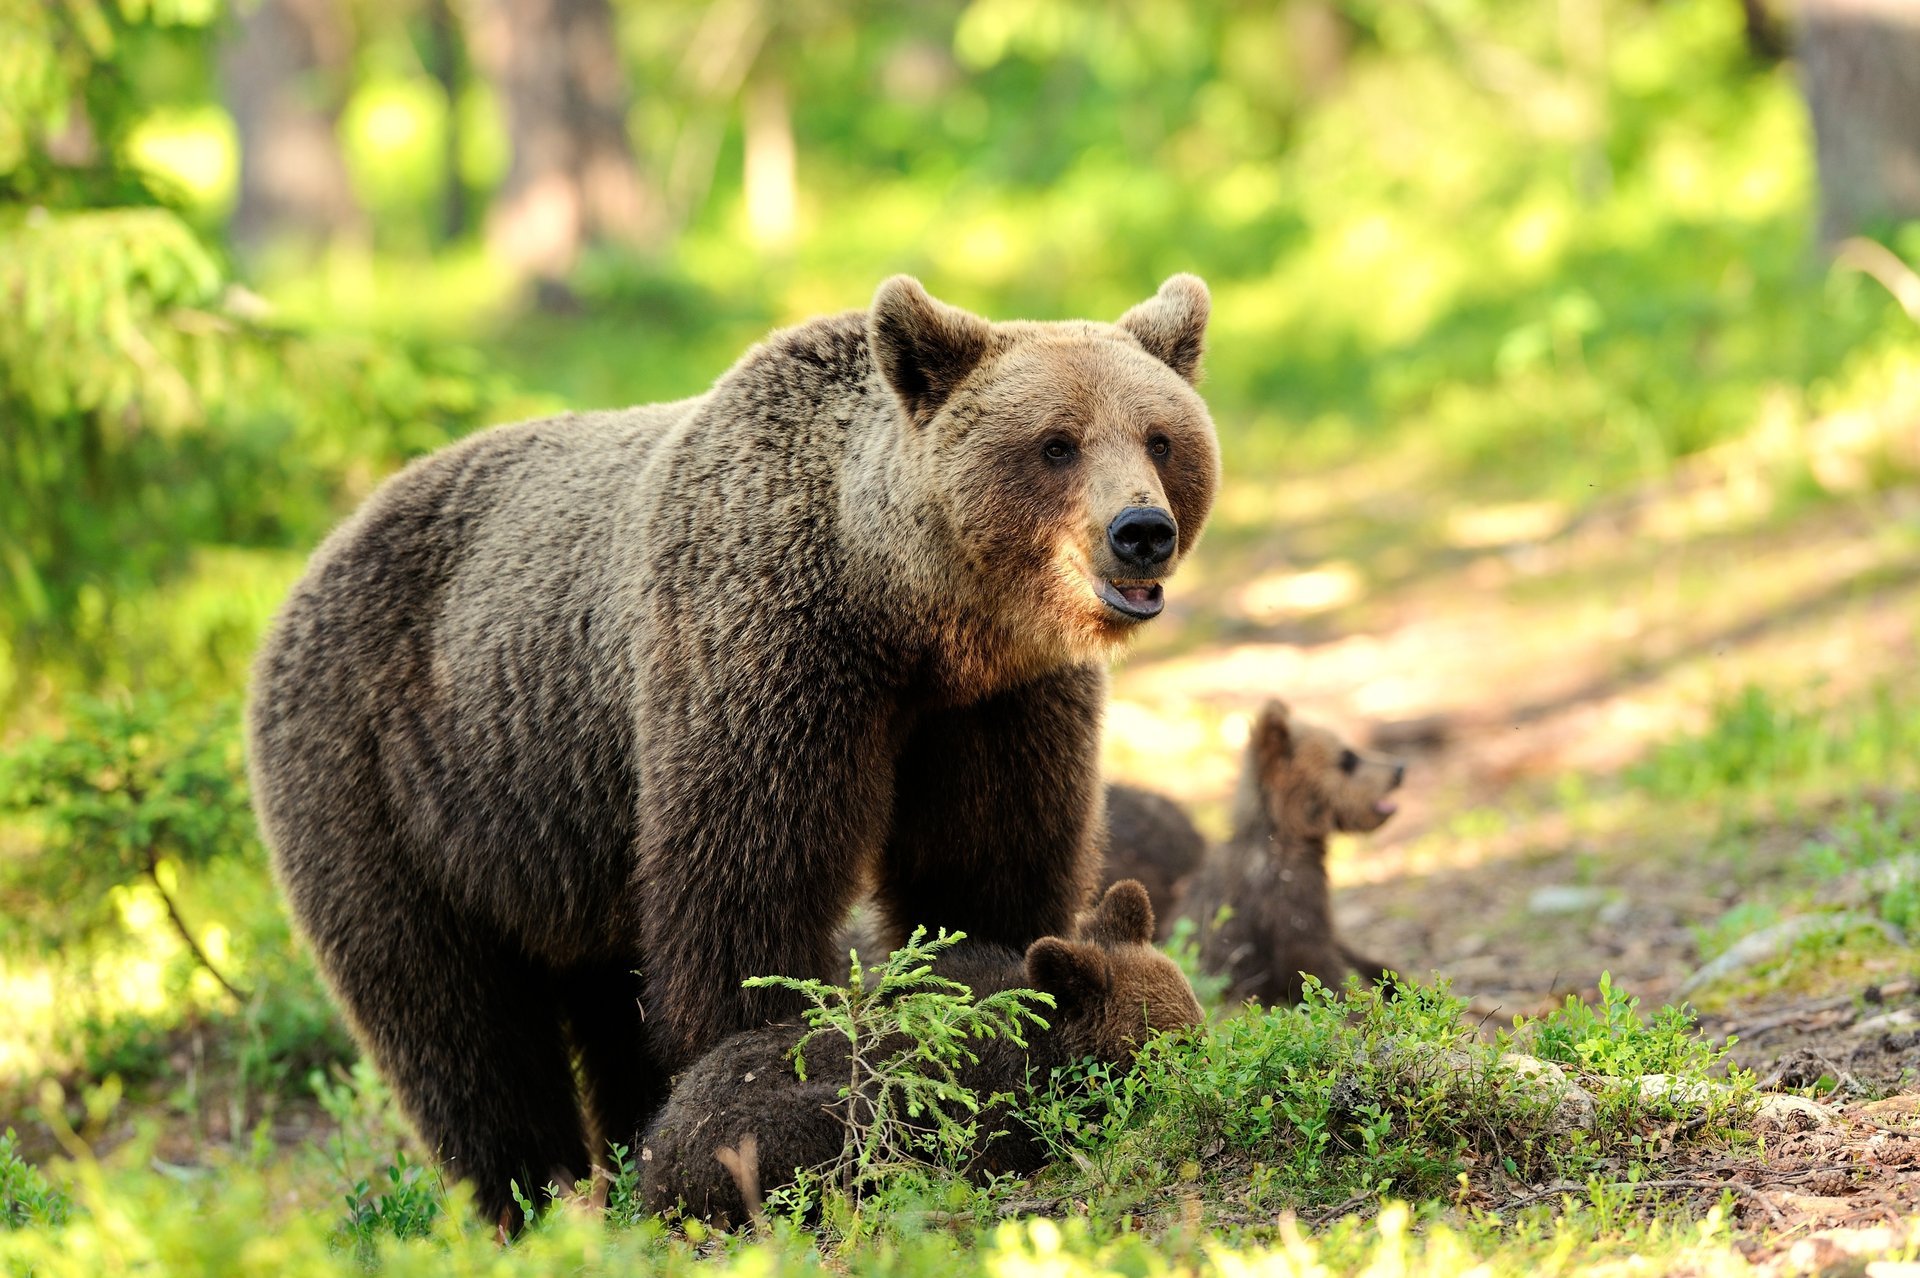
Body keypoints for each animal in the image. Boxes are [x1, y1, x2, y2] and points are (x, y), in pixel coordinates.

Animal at [247, 276, 1221, 1228]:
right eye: (1057, 444)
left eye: (1161, 437)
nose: (1141, 529)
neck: (907, 619)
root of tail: (314, 562)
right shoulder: (759, 659)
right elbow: (746, 895)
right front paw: (763, 1051)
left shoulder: (996, 708)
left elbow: (984, 867)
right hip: (392, 778)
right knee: (455, 1022)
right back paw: (525, 1198)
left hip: (567, 845)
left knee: (598, 993)